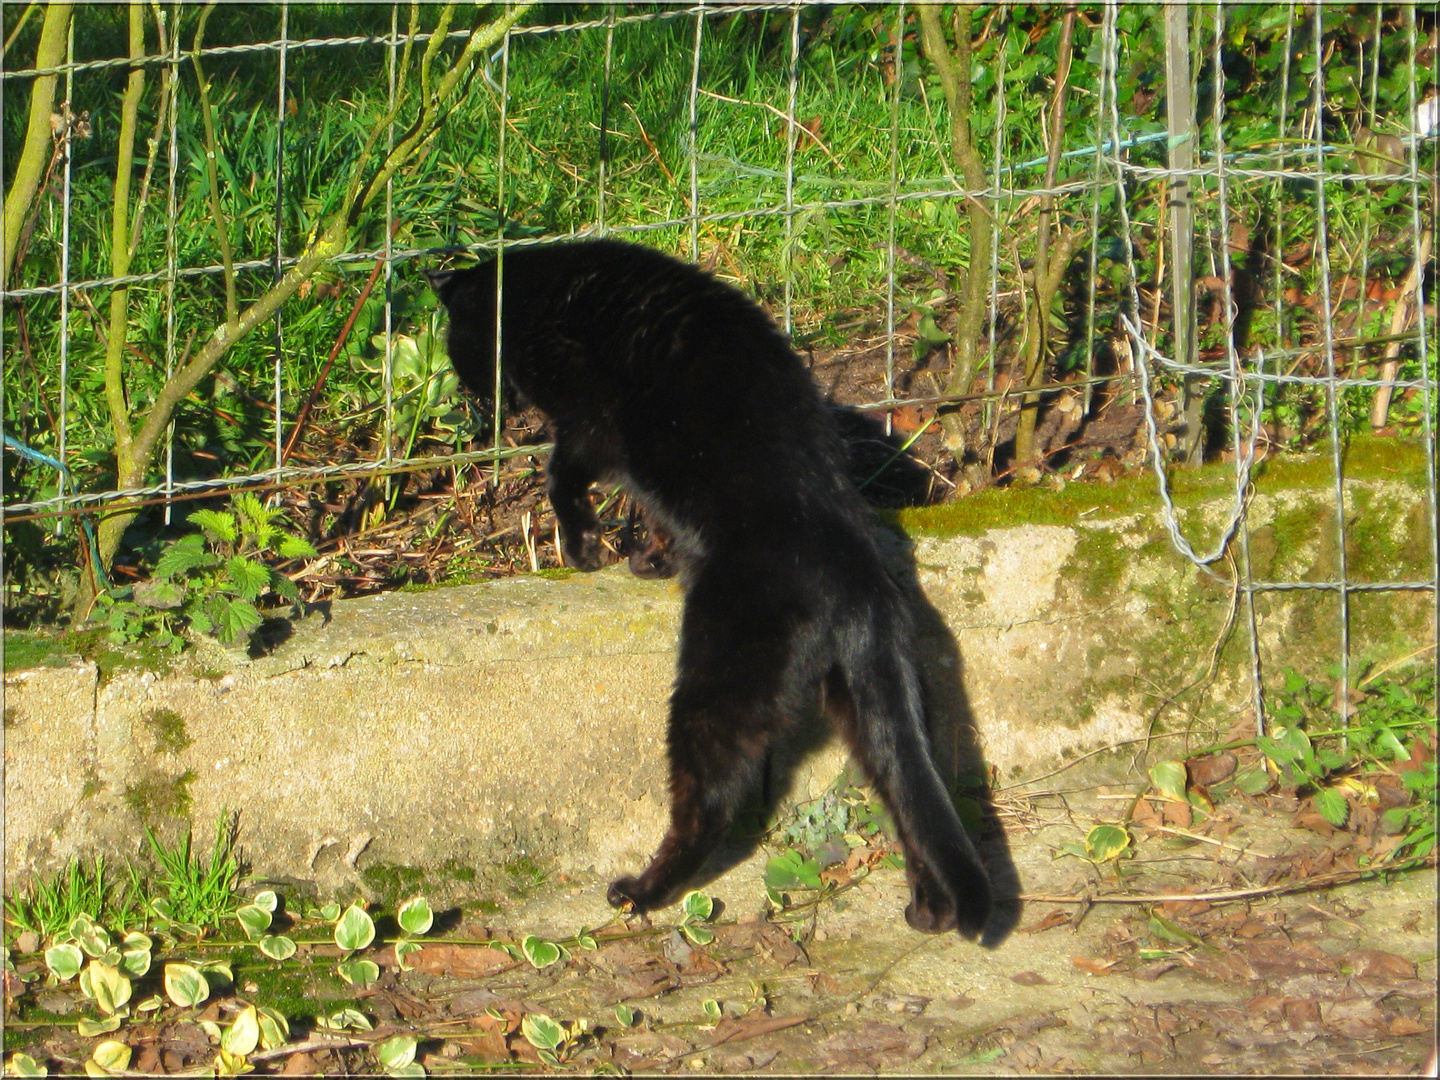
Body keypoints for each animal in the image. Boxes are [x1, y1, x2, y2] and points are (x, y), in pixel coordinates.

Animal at [426, 239, 990, 938]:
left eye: (457, 345)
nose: (473, 401)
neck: (541, 290)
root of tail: (858, 568)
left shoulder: (589, 418)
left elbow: (564, 475)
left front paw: (585, 549)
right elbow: (655, 516)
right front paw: (650, 559)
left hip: (717, 681)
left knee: (711, 803)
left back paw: (643, 891)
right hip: (861, 700)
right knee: (902, 790)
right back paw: (927, 908)